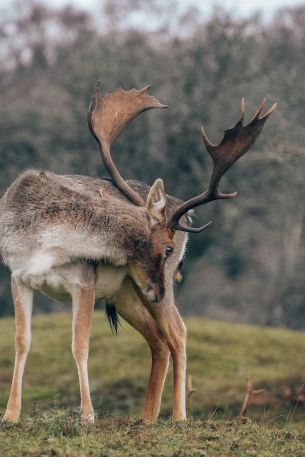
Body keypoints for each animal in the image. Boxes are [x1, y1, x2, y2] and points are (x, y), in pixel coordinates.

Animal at [0, 80, 276, 422]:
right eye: (166, 248)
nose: (159, 290)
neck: (42, 241)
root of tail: (185, 213)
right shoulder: (18, 276)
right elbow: (22, 342)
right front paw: (10, 415)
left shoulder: (84, 282)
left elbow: (80, 345)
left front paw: (88, 416)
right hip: (126, 293)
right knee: (158, 340)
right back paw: (148, 417)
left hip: (141, 292)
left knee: (178, 333)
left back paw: (178, 416)